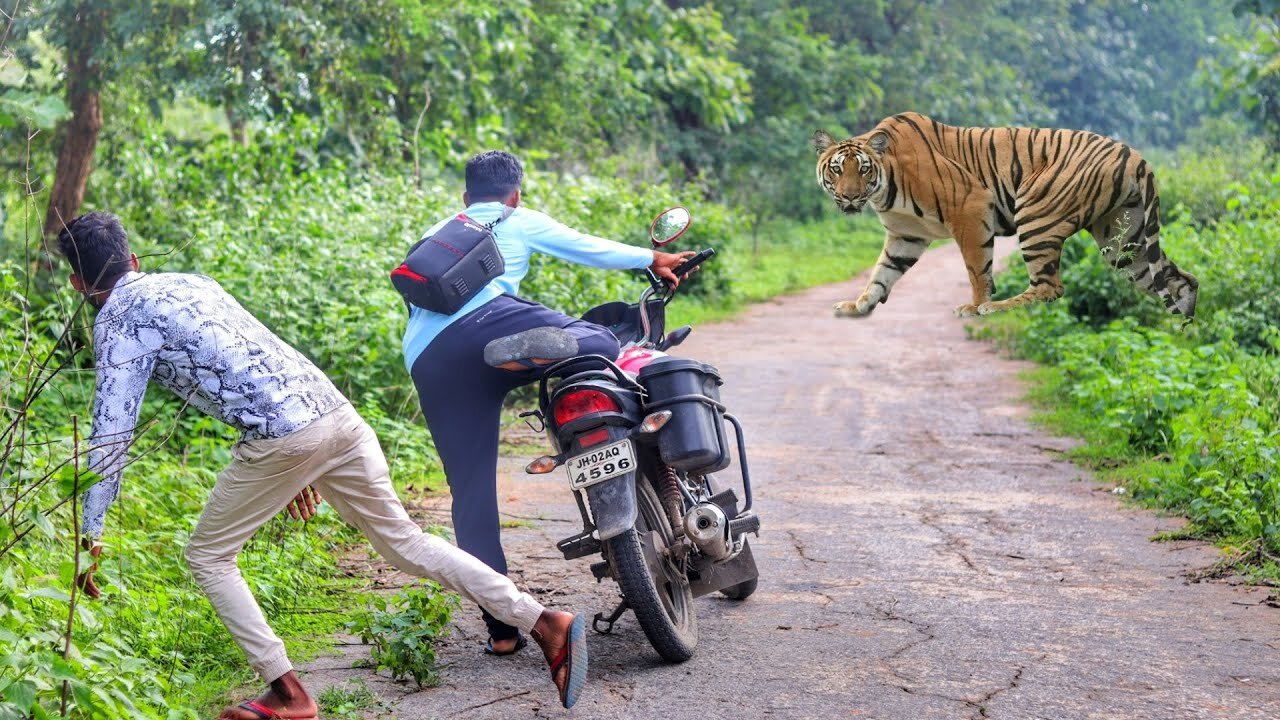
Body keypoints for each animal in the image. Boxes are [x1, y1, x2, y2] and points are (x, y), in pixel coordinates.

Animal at [808, 112, 1198, 319]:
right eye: (837, 169)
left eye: (863, 169)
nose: (849, 196)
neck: (884, 186)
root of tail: (1136, 156)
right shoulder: (907, 235)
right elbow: (882, 274)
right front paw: (858, 306)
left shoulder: (970, 206)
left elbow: (977, 268)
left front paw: (974, 306)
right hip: (1123, 239)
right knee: (1182, 280)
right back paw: (1185, 329)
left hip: (1037, 213)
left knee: (1050, 287)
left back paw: (995, 309)